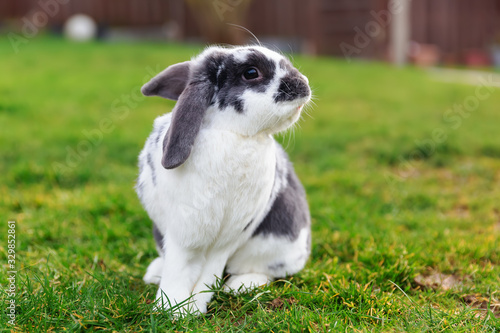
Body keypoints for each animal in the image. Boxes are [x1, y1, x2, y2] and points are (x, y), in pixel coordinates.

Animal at [135, 44, 310, 314]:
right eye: (251, 72)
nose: (304, 84)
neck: (232, 134)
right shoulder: (184, 233)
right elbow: (179, 268)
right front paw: (171, 309)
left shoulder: (228, 237)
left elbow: (208, 274)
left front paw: (191, 309)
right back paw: (154, 273)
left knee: (265, 271)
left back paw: (239, 286)